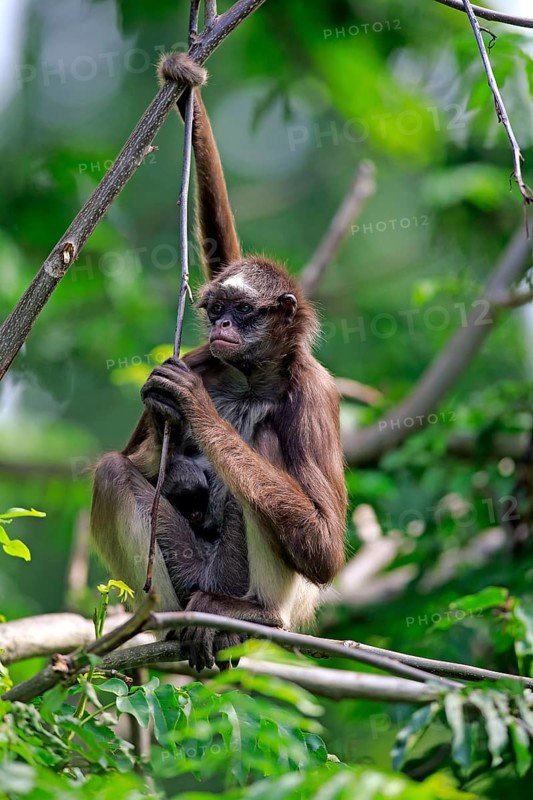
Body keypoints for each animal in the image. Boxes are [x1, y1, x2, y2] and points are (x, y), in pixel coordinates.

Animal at [91, 52, 347, 672]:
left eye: (244, 312)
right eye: (218, 311)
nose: (224, 326)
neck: (251, 380)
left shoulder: (314, 391)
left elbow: (325, 551)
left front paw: (193, 408)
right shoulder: (203, 356)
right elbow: (133, 461)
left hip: (238, 578)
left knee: (268, 445)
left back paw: (253, 616)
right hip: (187, 573)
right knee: (111, 473)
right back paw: (168, 618)